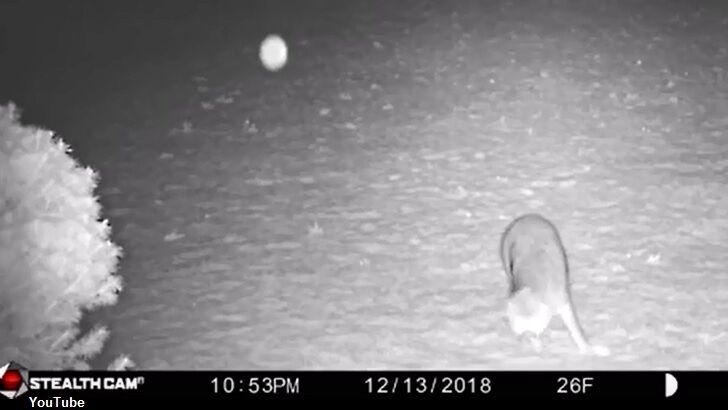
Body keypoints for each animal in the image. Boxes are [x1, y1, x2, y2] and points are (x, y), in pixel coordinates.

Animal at [499, 213, 610, 356]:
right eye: (522, 333)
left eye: (534, 329)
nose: (526, 340)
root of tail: (528, 217)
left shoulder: (564, 303)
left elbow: (576, 331)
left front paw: (588, 349)